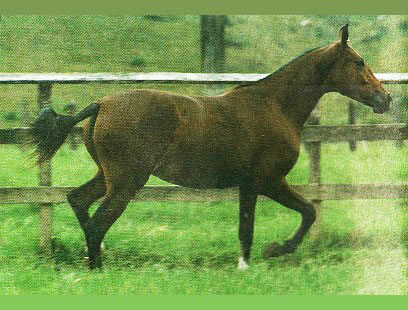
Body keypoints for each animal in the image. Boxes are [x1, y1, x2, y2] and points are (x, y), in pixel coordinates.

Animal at [30, 25, 390, 270]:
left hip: (108, 176)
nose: (385, 98)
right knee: (97, 222)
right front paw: (272, 251)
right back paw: (97, 269)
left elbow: (258, 225)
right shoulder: (267, 181)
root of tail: (101, 104)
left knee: (78, 201)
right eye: (358, 61)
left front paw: (251, 262)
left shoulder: (251, 185)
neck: (275, 106)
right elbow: (299, 215)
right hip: (126, 181)